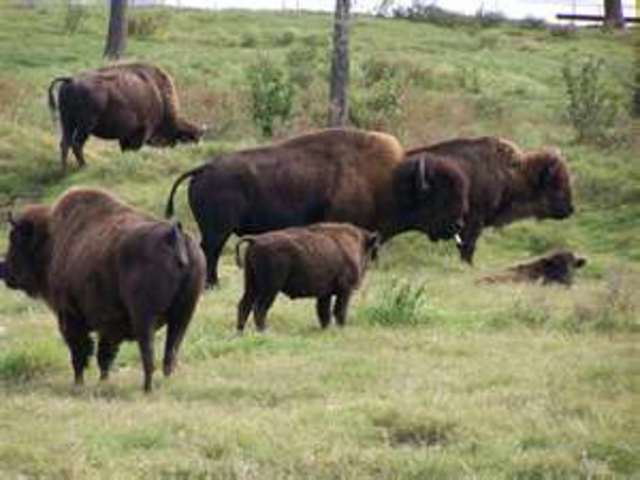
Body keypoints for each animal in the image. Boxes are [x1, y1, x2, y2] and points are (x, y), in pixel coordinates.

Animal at [1, 188, 206, 392]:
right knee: (169, 354)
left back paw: (146, 388)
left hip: (145, 317)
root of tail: (173, 235)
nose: (5, 272)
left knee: (148, 355)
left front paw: (79, 383)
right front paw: (103, 382)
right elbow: (104, 355)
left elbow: (80, 353)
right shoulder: (109, 326)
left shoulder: (70, 316)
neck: (50, 238)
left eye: (14, 239)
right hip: (183, 316)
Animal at [48, 62, 204, 171]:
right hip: (85, 126)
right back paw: (85, 166)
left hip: (67, 122)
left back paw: (63, 170)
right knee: (77, 144)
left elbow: (125, 149)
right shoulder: (142, 132)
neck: (160, 97)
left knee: (65, 143)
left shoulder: (125, 136)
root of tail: (70, 80)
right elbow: (133, 148)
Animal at [165, 128, 469, 286]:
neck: (390, 181)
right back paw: (212, 284)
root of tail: (205, 168)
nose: (459, 224)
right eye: (443, 196)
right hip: (218, 230)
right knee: (211, 251)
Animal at [235, 223, 379, 332]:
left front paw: (326, 329)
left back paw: (240, 332)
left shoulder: (325, 294)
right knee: (260, 308)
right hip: (270, 288)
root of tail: (256, 240)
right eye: (370, 251)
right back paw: (264, 331)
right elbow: (339, 311)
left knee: (244, 305)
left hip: (252, 284)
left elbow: (324, 313)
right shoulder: (345, 290)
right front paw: (341, 329)